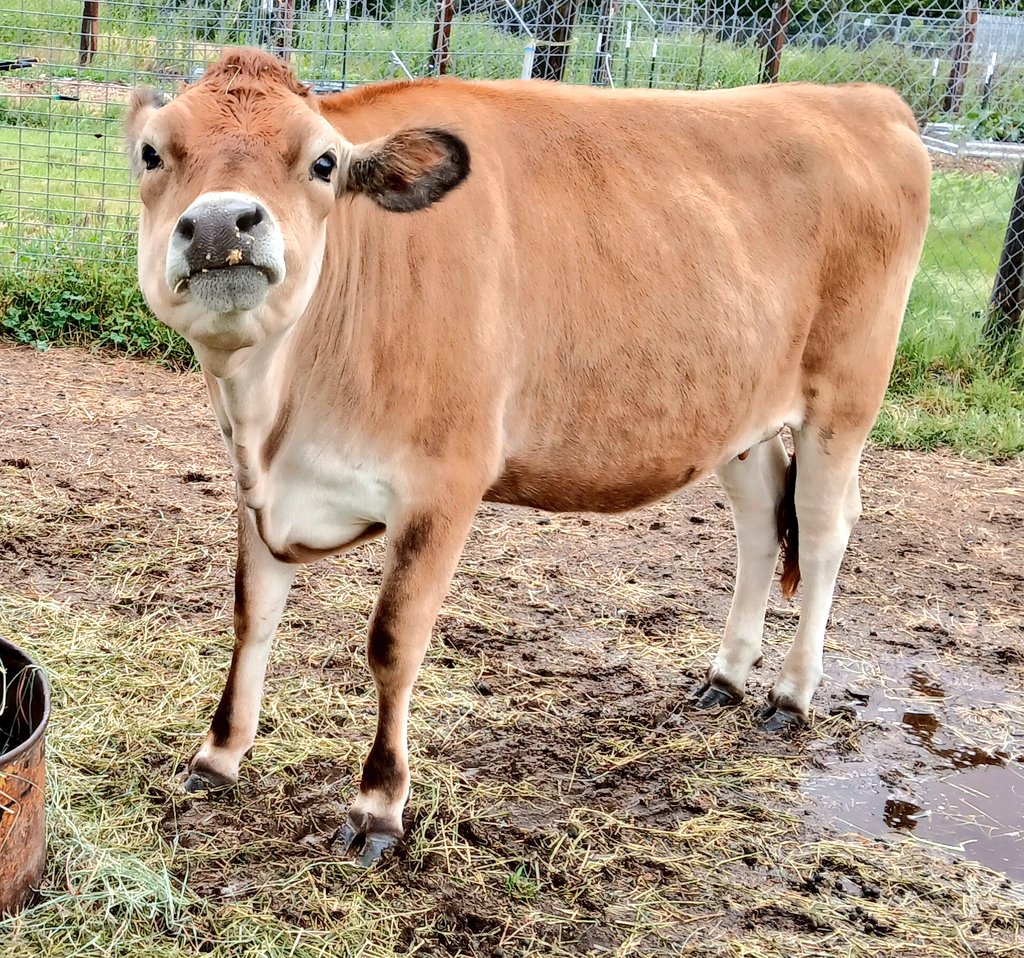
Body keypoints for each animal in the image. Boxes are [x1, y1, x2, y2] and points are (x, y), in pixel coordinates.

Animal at [123, 46, 933, 867]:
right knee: (762, 521)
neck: (276, 411)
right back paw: (726, 677)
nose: (221, 222)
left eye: (323, 161)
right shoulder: (256, 484)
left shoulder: (444, 485)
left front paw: (378, 805)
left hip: (845, 396)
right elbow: (251, 614)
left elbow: (393, 642)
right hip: (737, 411)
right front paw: (217, 757)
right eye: (151, 153)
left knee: (824, 530)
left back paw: (791, 695)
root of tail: (867, 100)